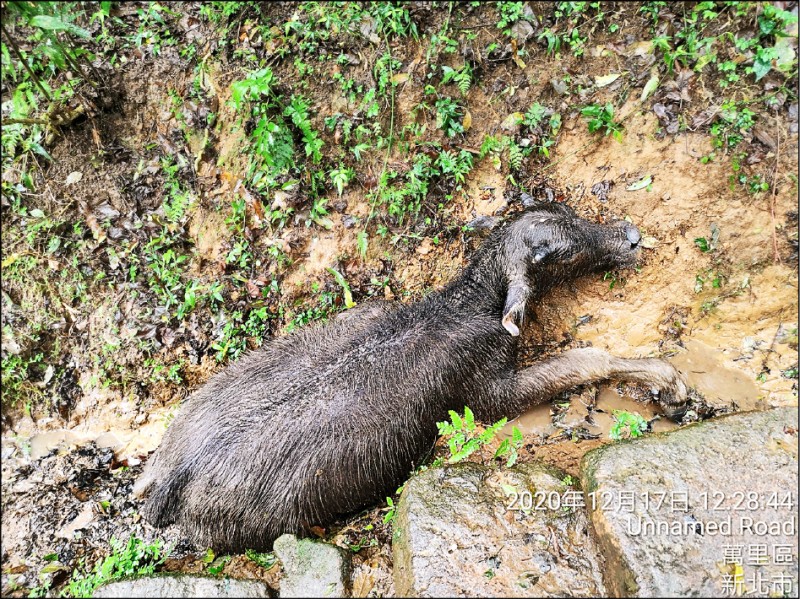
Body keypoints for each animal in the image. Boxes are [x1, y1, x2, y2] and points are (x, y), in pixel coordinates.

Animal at [136, 202, 688, 552]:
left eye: (572, 213)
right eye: (563, 252)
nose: (631, 237)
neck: (465, 305)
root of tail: (167, 482)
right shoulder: (486, 392)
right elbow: (585, 359)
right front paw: (669, 383)